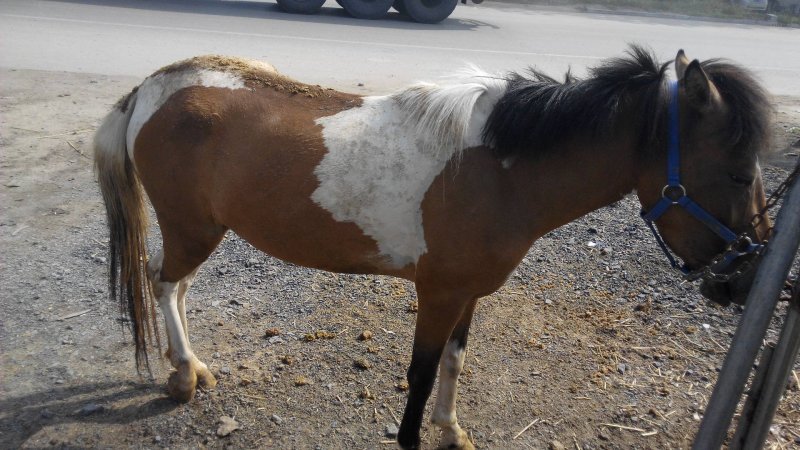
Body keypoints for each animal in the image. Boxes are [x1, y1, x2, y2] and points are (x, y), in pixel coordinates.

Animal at [95, 44, 776, 446]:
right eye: (740, 172)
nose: (744, 278)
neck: (500, 168)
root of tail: (151, 89)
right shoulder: (438, 292)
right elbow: (420, 376)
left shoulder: (469, 294)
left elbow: (452, 364)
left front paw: (451, 431)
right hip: (193, 230)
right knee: (164, 285)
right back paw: (183, 375)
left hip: (199, 230)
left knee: (175, 288)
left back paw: (187, 368)